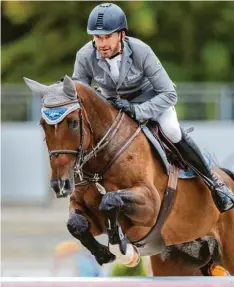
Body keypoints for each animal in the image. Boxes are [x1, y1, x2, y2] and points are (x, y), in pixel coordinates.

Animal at [23, 76, 234, 276]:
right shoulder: (87, 211)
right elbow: (75, 224)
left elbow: (110, 200)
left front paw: (122, 246)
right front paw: (104, 254)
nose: (60, 185)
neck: (101, 164)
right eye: (42, 125)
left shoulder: (150, 204)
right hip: (178, 263)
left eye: (73, 123)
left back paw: (223, 195)